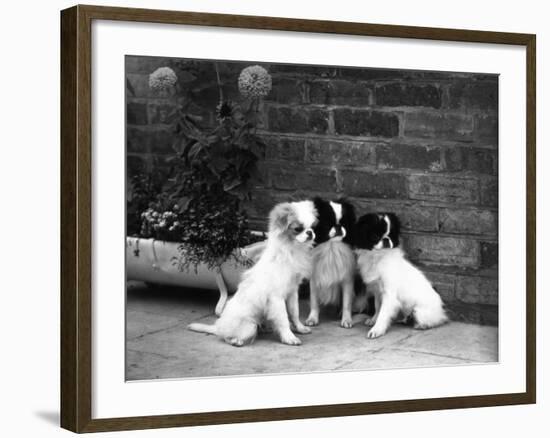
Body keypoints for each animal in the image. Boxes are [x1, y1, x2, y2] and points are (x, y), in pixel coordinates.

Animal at [190, 200, 320, 348]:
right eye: (298, 229)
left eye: (312, 227)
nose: (310, 233)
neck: (291, 251)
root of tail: (218, 326)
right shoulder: (276, 297)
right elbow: (283, 318)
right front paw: (289, 337)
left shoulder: (292, 291)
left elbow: (294, 313)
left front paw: (299, 328)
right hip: (249, 326)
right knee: (226, 336)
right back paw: (236, 340)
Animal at [306, 198, 358, 328]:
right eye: (327, 223)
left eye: (344, 223)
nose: (338, 226)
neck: (331, 248)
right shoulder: (314, 279)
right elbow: (314, 301)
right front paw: (312, 318)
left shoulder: (347, 280)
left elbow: (346, 302)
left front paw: (346, 320)